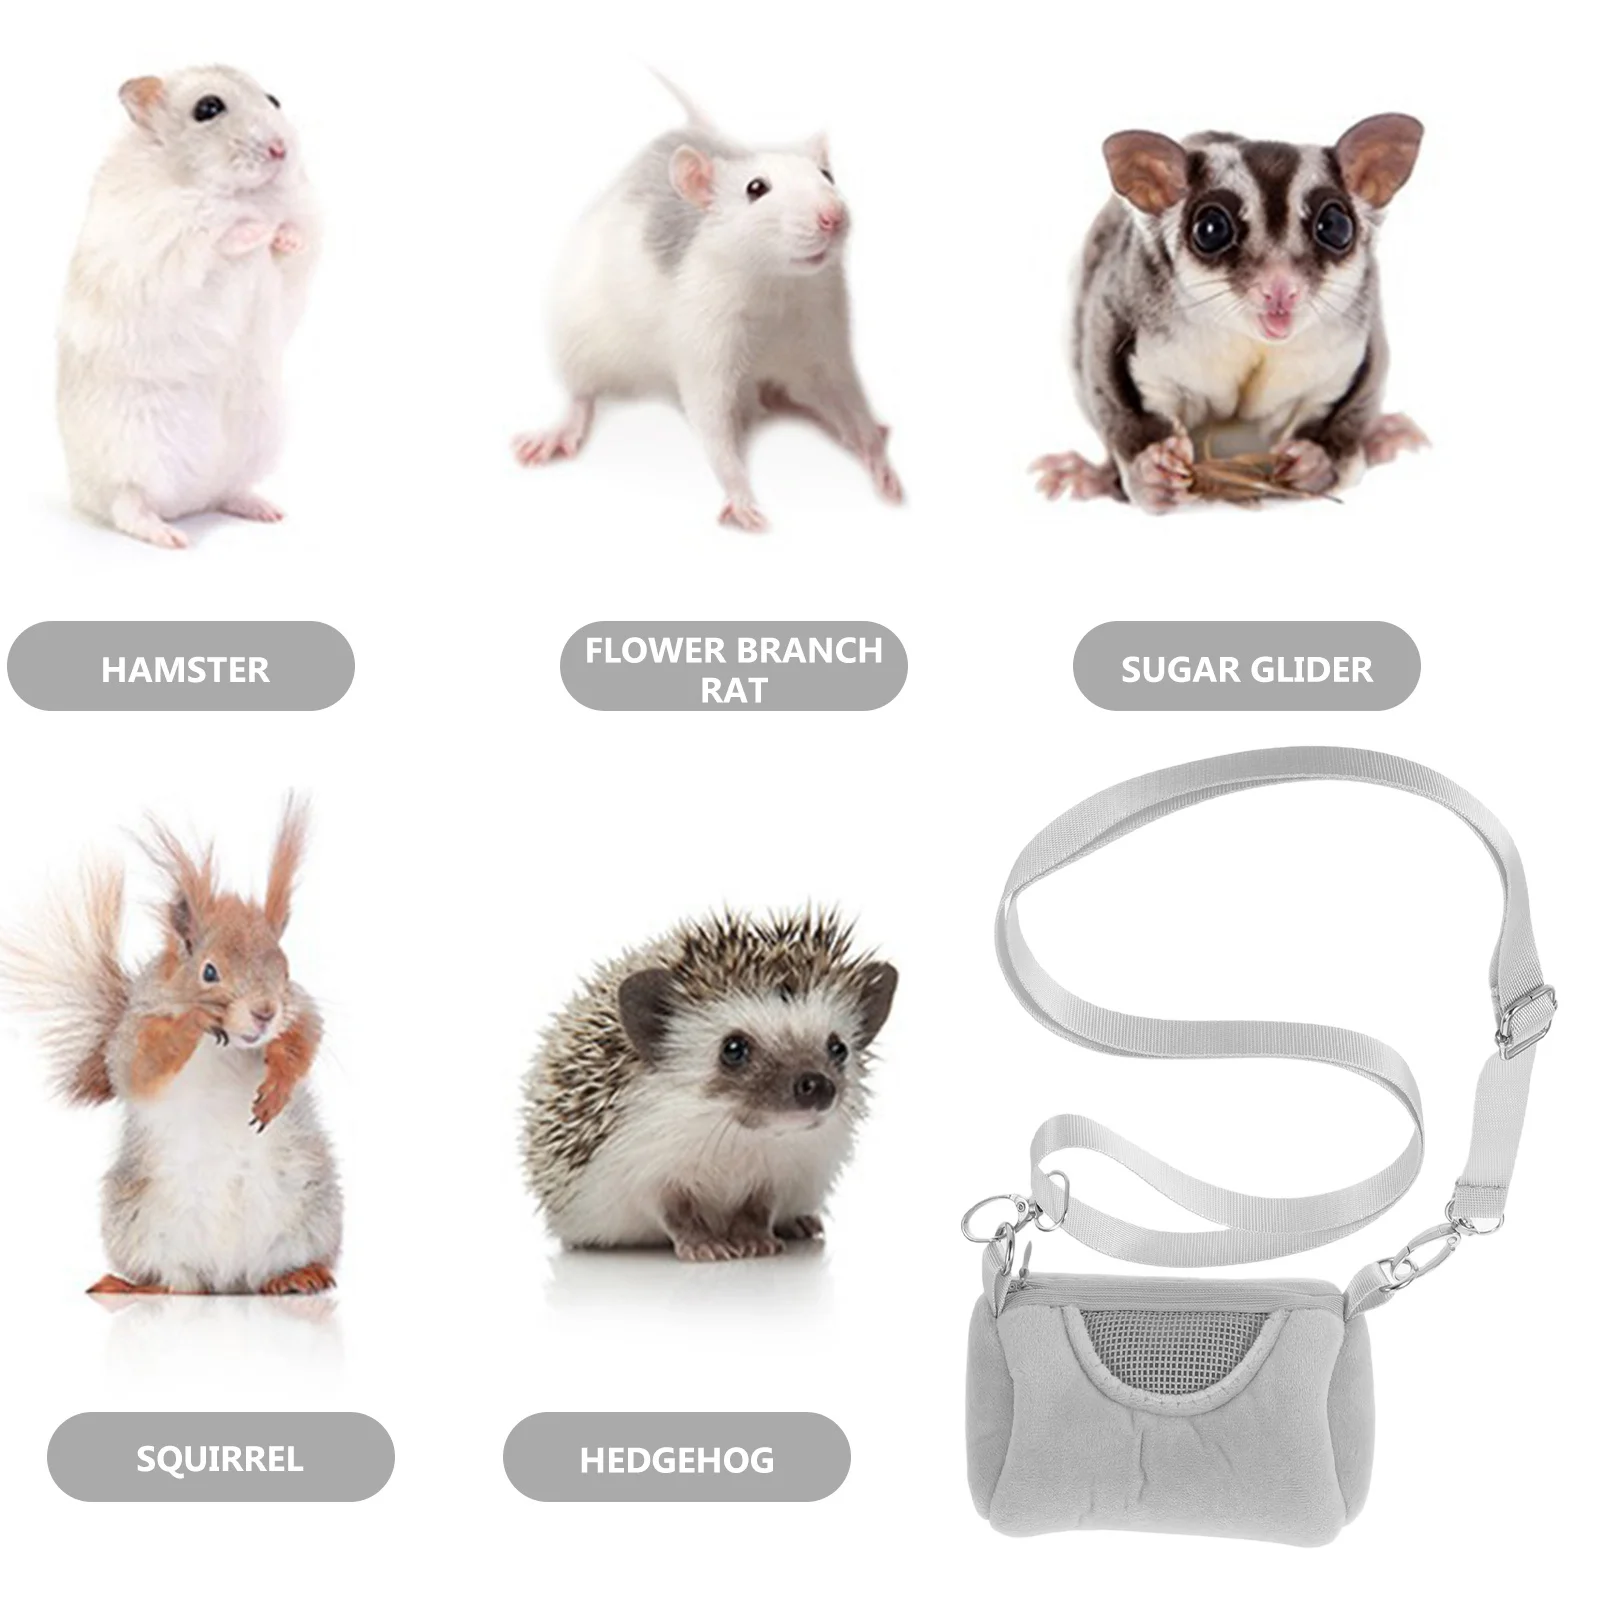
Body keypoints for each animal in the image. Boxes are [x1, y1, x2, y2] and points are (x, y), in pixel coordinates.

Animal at [0, 798, 341, 1294]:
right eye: (209, 972)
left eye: (285, 968)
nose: (264, 1012)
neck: (225, 1045)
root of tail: (228, 1278)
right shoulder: (133, 1031)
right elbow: (140, 1066)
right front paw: (194, 1019)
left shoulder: (299, 1007)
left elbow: (305, 1035)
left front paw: (277, 1087)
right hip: (140, 1226)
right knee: (176, 1284)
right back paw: (135, 1286)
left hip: (313, 1211)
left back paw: (298, 1275)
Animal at [57, 66, 318, 549]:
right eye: (207, 108)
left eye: (274, 99)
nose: (281, 149)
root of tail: (187, 504)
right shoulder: (161, 238)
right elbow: (214, 236)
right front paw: (255, 228)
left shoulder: (305, 234)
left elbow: (295, 240)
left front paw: (281, 234)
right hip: (132, 447)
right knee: (127, 505)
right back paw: (172, 538)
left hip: (258, 437)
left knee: (227, 491)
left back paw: (268, 511)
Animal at [512, 77, 902, 531]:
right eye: (756, 188)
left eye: (827, 175)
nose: (832, 216)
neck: (777, 287)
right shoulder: (706, 335)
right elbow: (710, 415)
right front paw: (741, 496)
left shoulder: (824, 331)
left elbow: (847, 392)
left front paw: (878, 458)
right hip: (577, 337)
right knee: (581, 393)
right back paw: (560, 429)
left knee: (796, 397)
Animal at [522, 911, 898, 1259]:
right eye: (733, 1049)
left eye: (838, 1048)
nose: (818, 1085)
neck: (742, 1138)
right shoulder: (641, 1165)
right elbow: (673, 1212)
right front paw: (704, 1245)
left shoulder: (788, 1168)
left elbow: (758, 1207)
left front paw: (755, 1239)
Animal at [1033, 115, 1427, 511]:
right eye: (1211, 229)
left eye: (1335, 226)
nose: (1280, 288)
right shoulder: (1123, 303)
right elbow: (1114, 386)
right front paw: (1153, 469)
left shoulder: (1357, 334)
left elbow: (1351, 401)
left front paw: (1315, 461)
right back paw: (1087, 475)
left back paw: (1384, 438)